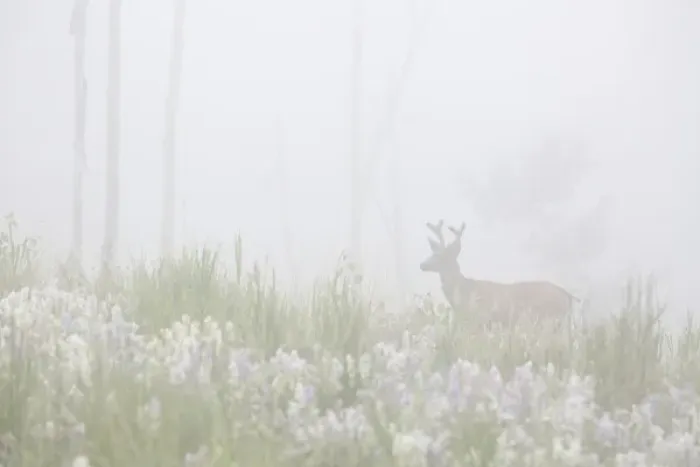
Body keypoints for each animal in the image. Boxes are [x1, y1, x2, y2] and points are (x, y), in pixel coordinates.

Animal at [419, 220, 580, 326]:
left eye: (440, 255)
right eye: (433, 252)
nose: (422, 264)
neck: (465, 291)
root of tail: (568, 295)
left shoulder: (482, 319)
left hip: (549, 319)